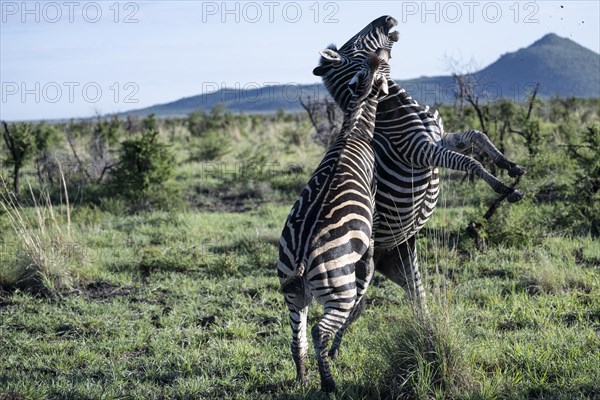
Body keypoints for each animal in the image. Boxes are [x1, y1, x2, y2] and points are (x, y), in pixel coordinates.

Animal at [278, 50, 392, 394]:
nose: (381, 52)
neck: (354, 129)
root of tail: (303, 254)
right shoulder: (372, 218)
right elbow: (368, 264)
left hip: (293, 293)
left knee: (297, 338)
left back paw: (303, 379)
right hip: (338, 291)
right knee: (320, 332)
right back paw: (329, 384)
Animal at [310, 17, 524, 338]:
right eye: (356, 41)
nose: (387, 18)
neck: (390, 102)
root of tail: (382, 254)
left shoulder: (439, 138)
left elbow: (477, 135)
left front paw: (510, 166)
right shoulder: (419, 150)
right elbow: (469, 161)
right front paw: (505, 188)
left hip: (399, 259)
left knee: (415, 294)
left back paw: (426, 328)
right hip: (360, 269)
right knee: (348, 309)